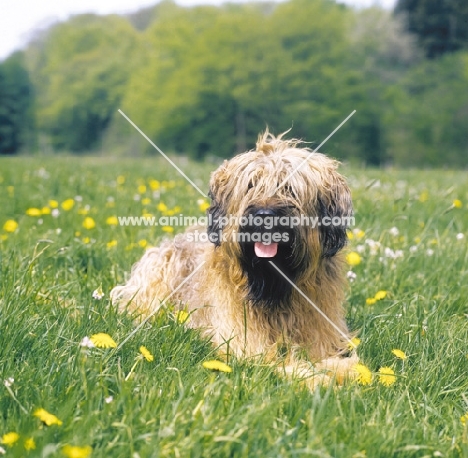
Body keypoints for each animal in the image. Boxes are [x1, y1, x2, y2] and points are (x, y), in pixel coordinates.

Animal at [110, 131, 358, 388]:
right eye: (251, 185)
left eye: (289, 187)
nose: (264, 216)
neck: (273, 286)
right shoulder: (244, 342)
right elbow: (277, 362)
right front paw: (317, 380)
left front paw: (347, 372)